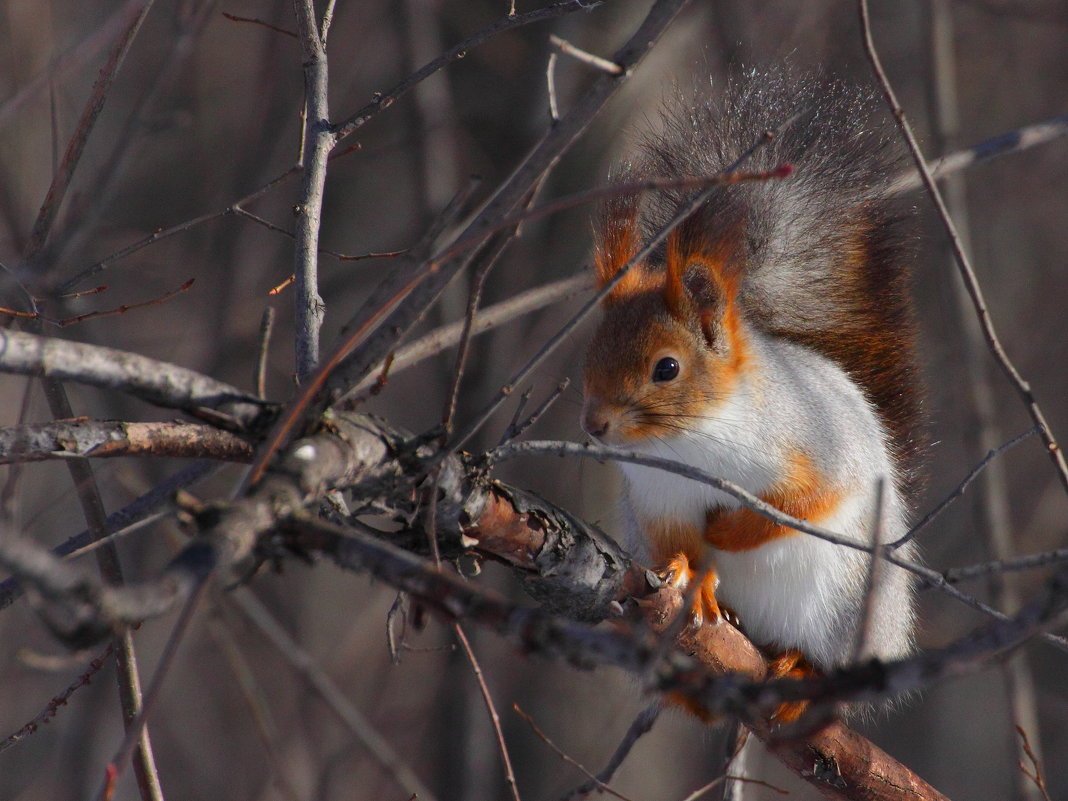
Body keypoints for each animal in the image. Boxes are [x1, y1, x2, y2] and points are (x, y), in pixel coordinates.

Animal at [580, 73, 922, 700]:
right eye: (589, 357)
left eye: (667, 368)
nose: (594, 426)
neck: (695, 438)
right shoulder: (657, 502)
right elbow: (679, 545)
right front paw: (690, 575)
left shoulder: (818, 446)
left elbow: (806, 501)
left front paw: (731, 529)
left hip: (848, 608)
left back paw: (798, 665)